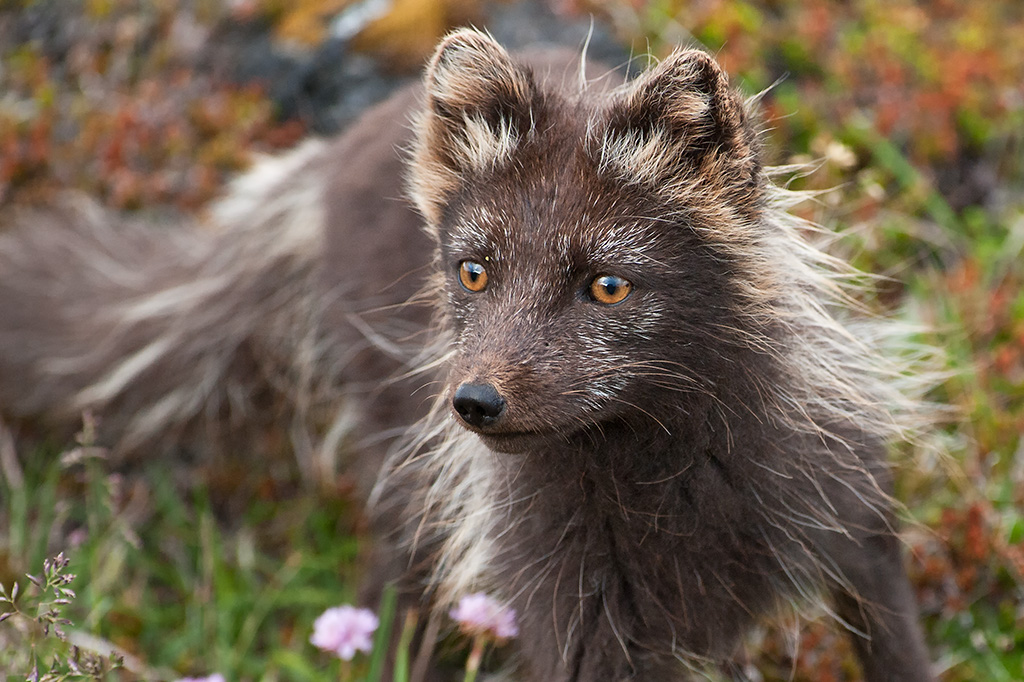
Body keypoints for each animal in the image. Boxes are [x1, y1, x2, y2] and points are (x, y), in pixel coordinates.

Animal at [0, 28, 935, 682]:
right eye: (474, 271)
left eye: (607, 285)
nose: (476, 402)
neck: (668, 473)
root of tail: (335, 148)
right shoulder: (576, 625)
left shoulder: (863, 544)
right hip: (404, 480)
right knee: (388, 597)